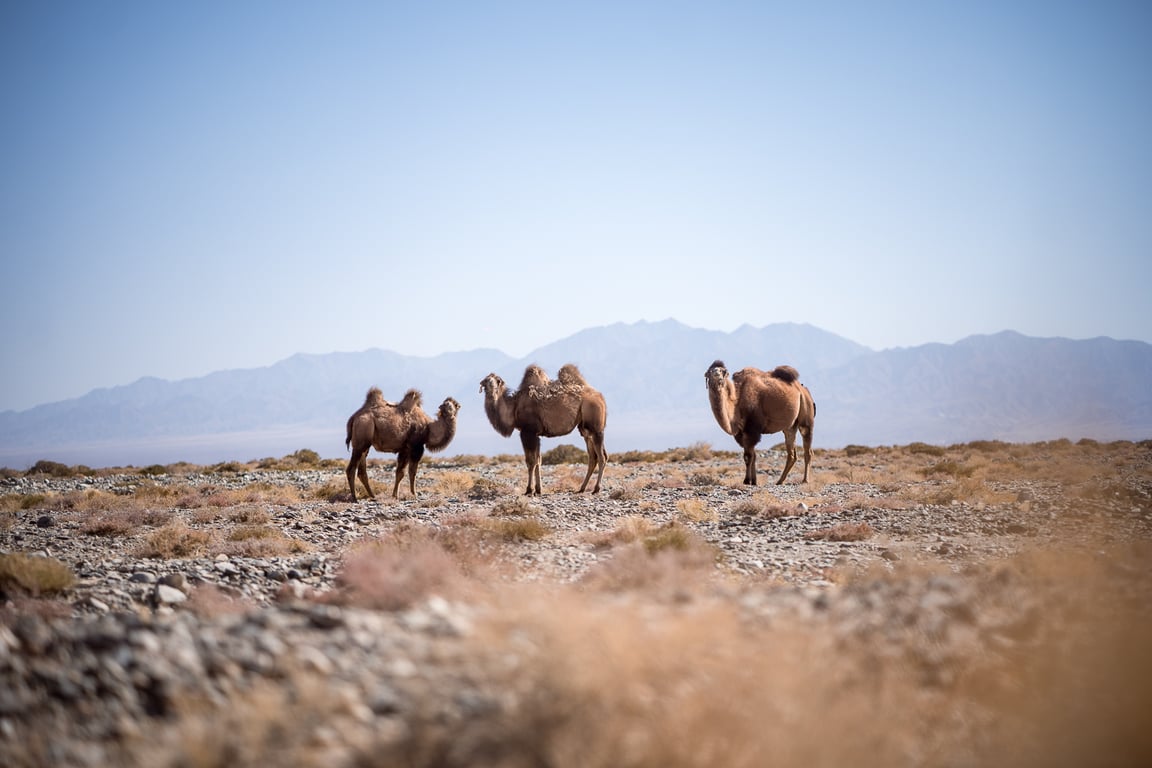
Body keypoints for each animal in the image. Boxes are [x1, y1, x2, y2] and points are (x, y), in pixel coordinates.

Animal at [476, 363, 608, 495]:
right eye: (486, 380)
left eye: (497, 380)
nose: (489, 385)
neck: (514, 407)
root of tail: (601, 397)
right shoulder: (536, 435)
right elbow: (538, 461)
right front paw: (538, 490)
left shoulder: (528, 432)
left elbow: (531, 461)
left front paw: (529, 490)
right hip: (585, 430)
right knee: (593, 457)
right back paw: (582, 488)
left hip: (596, 428)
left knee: (602, 457)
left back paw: (596, 489)